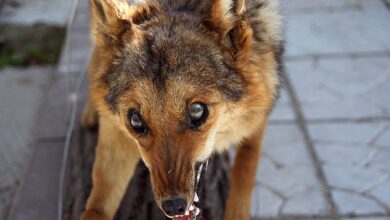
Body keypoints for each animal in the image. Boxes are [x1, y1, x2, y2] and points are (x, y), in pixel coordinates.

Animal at [80, 0, 282, 219]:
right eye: (135, 120)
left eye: (197, 110)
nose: (173, 206)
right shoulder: (116, 134)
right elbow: (99, 201)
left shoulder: (262, 105)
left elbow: (246, 166)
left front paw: (237, 212)